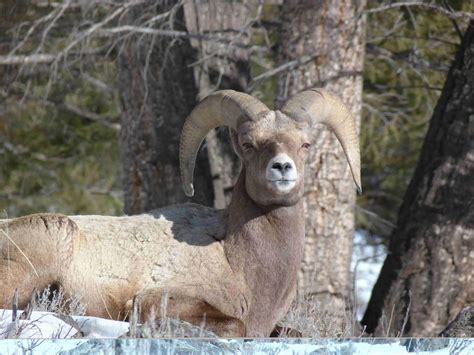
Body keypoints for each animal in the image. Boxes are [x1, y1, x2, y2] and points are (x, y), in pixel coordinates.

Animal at [0, 89, 362, 336]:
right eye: (248, 144)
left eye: (305, 144)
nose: (282, 168)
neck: (237, 259)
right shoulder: (158, 301)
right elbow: (236, 326)